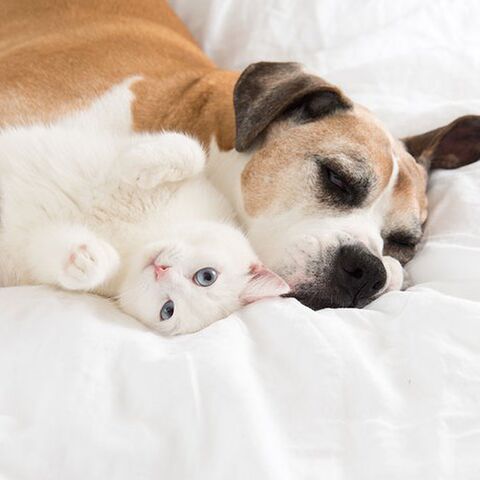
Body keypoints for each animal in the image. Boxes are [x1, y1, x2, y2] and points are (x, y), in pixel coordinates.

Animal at [0, 124, 288, 334]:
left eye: (168, 310)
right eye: (207, 276)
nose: (161, 270)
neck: (141, 237)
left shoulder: (39, 252)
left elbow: (53, 254)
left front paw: (87, 259)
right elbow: (191, 151)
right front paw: (138, 166)